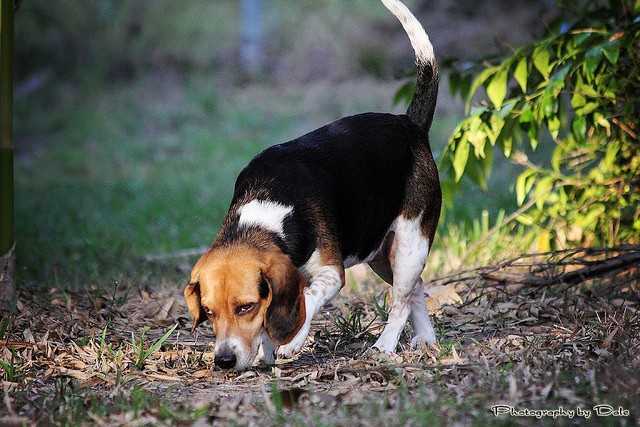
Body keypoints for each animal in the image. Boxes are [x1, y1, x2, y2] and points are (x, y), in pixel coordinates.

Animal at [185, 0, 440, 372]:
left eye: (246, 307)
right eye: (209, 312)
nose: (224, 361)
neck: (267, 211)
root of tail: (410, 125)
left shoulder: (331, 274)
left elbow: (305, 299)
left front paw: (291, 342)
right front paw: (267, 351)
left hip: (411, 244)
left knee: (402, 301)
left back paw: (384, 346)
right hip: (380, 253)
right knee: (416, 289)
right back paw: (428, 340)